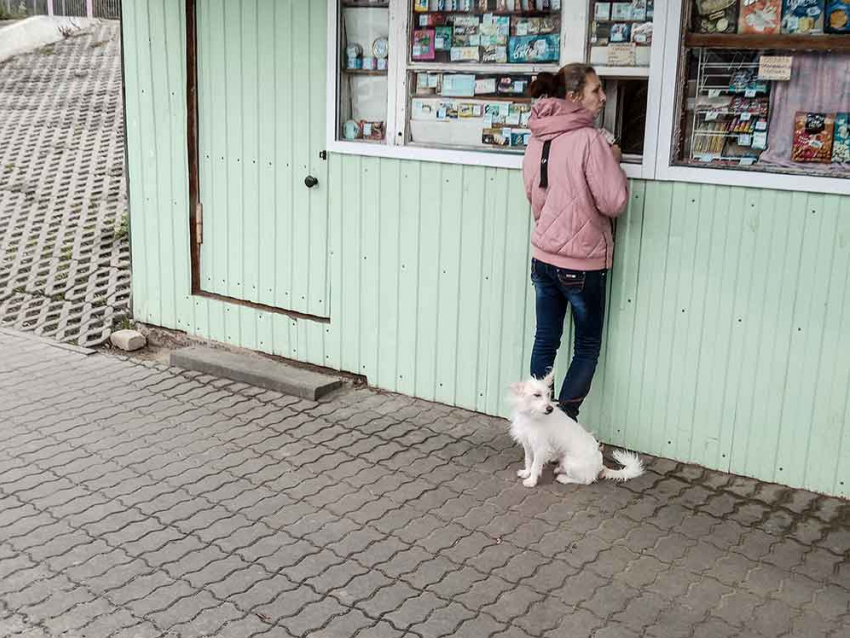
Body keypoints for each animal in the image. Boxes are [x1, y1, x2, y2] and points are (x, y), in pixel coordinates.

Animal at [506, 372, 640, 488]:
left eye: (548, 394)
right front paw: (526, 472)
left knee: (587, 480)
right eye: (537, 395)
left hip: (570, 461)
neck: (532, 415)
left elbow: (535, 465)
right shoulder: (527, 443)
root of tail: (600, 467)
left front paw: (532, 481)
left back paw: (563, 478)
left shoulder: (540, 447)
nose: (550, 409)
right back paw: (559, 469)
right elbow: (528, 460)